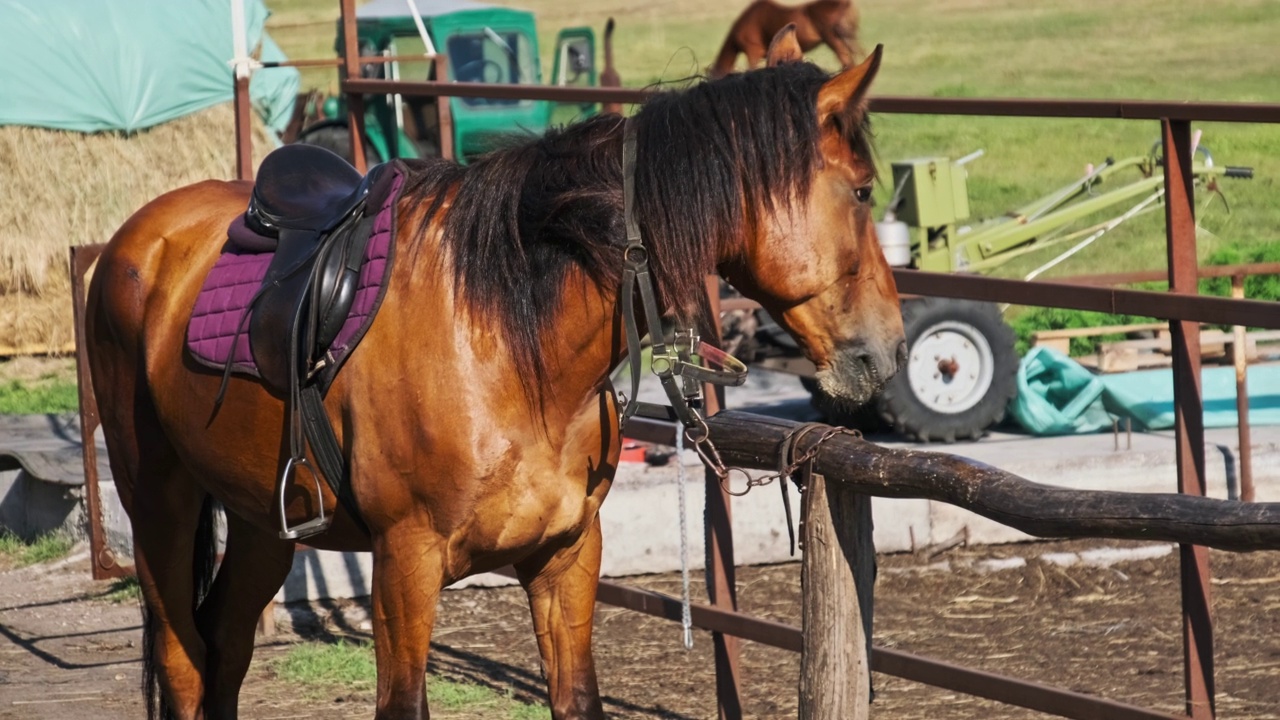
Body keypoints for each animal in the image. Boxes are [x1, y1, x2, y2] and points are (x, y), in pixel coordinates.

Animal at [87, 36, 901, 717]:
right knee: (182, 658)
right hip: (158, 502)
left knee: (223, 648)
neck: (510, 344)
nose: (887, 351)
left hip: (261, 519)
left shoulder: (565, 559)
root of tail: (138, 237)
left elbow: (576, 698)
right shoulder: (404, 569)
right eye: (862, 191)